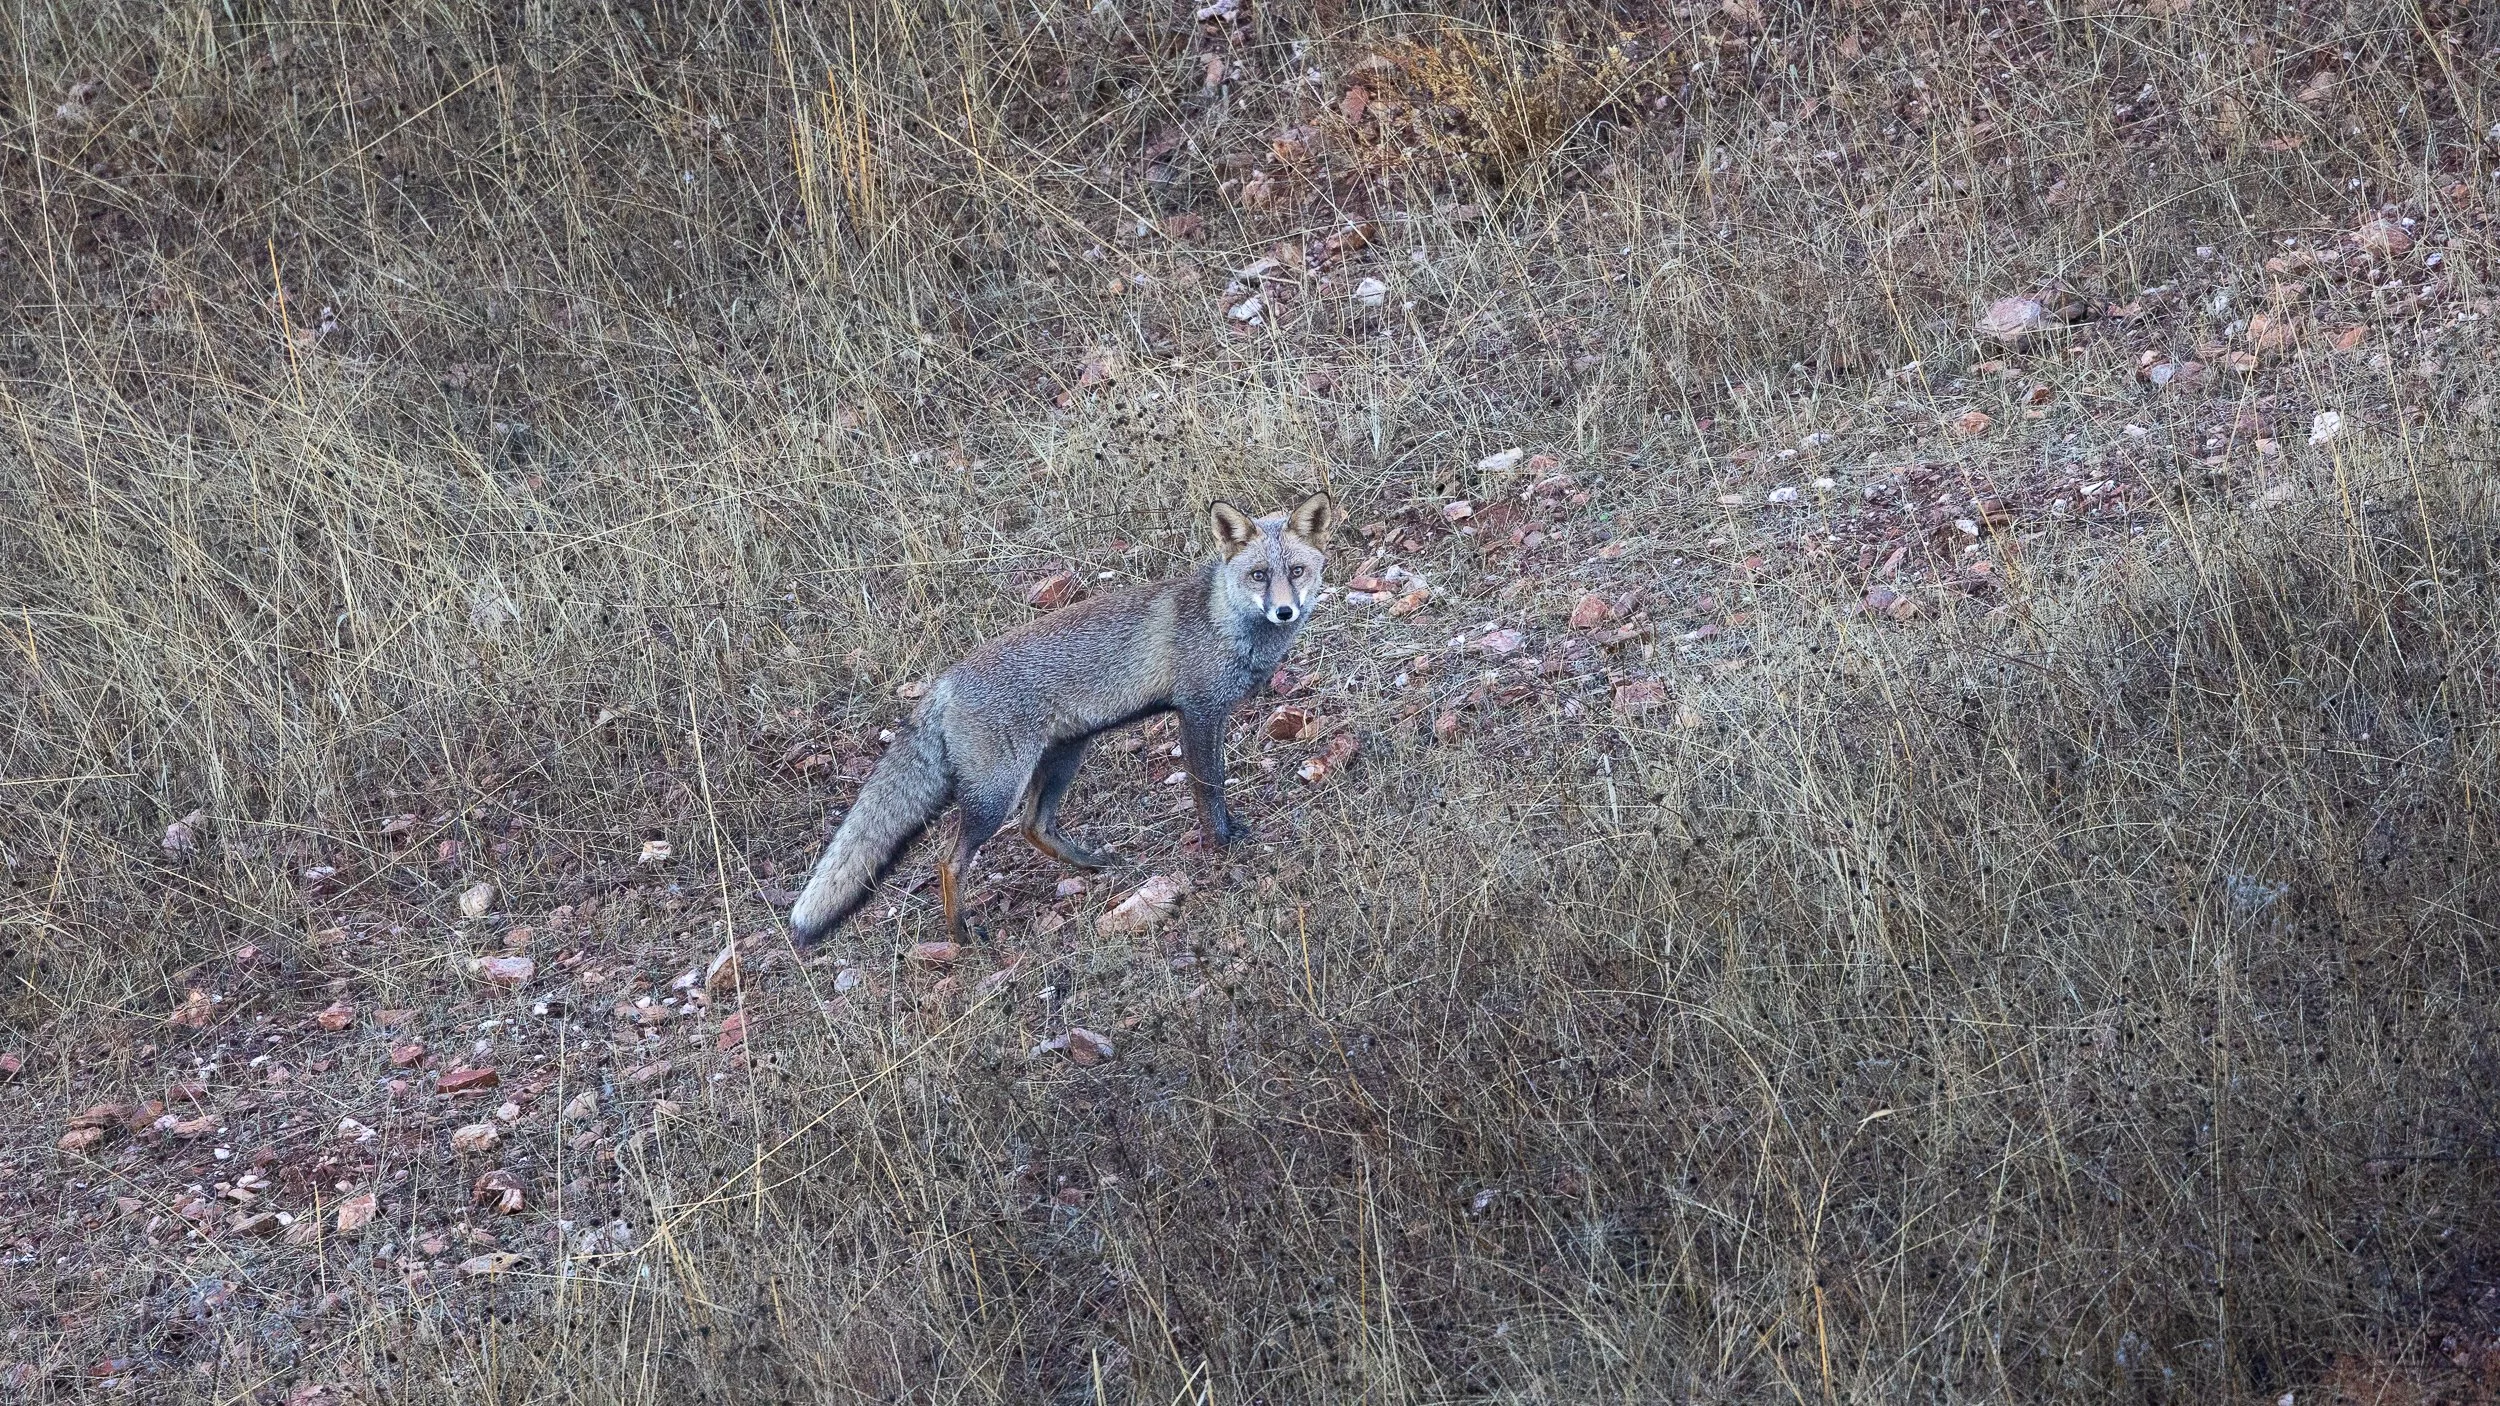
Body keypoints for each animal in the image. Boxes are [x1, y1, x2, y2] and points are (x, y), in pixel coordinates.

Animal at [789, 491, 1340, 947]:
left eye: (1296, 571)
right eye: (1258, 576)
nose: (1285, 612)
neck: (1226, 623)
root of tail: (943, 685)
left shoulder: (1215, 714)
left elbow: (1217, 784)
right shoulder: (1198, 712)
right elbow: (1209, 787)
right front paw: (1222, 843)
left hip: (1064, 757)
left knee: (1033, 826)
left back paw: (1092, 864)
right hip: (997, 792)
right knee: (950, 861)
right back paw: (961, 934)